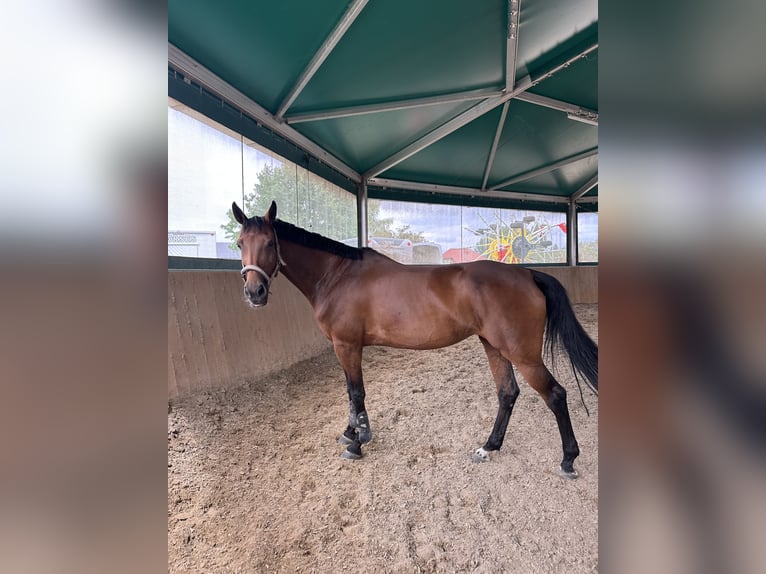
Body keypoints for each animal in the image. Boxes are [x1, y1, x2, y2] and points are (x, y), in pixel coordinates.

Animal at [232, 200, 598, 478]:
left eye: (270, 243)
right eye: (239, 243)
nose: (254, 292)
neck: (338, 275)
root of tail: (527, 273)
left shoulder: (346, 345)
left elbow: (356, 392)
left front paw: (357, 442)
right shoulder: (345, 347)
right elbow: (350, 394)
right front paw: (351, 433)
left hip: (522, 353)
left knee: (555, 395)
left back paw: (568, 460)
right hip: (493, 346)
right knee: (508, 393)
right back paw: (488, 447)